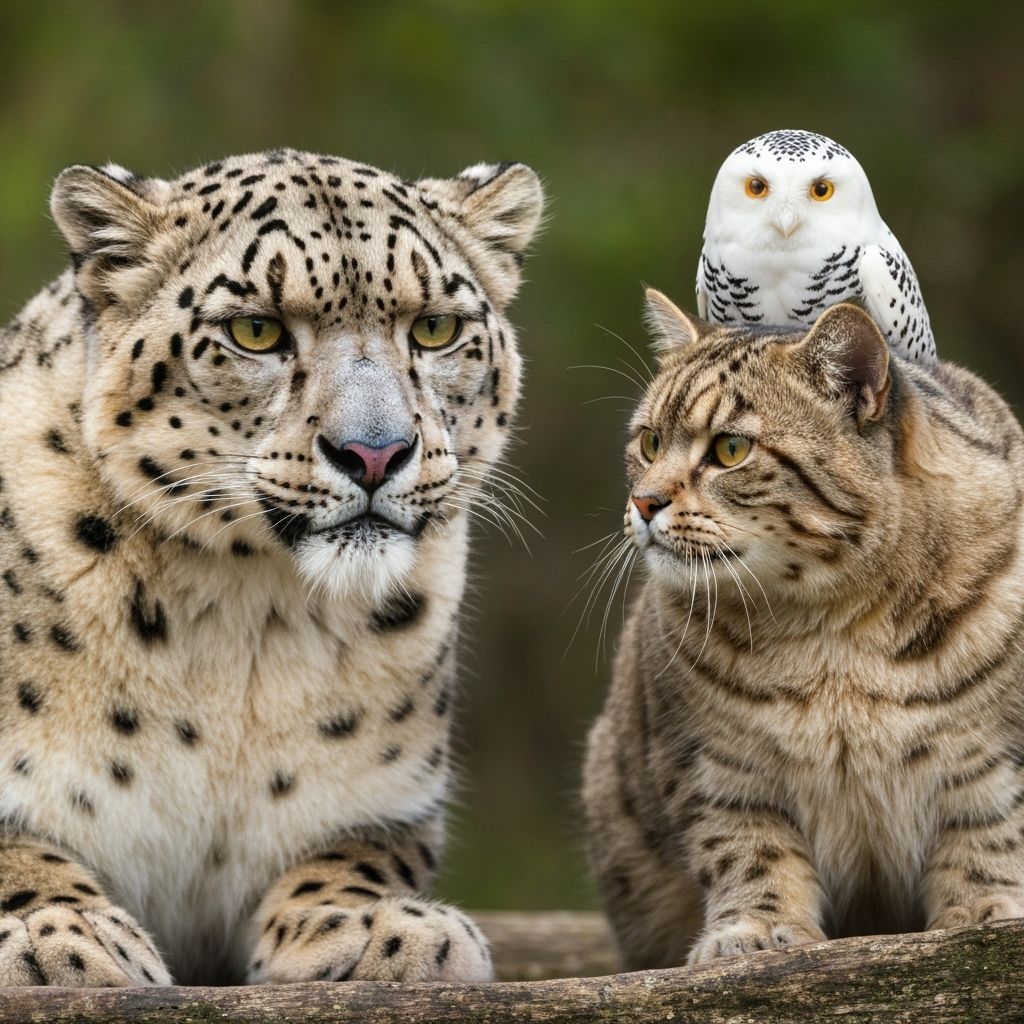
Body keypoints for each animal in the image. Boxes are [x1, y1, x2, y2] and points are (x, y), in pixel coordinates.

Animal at [0, 148, 543, 986]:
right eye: (255, 330)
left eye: (436, 326)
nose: (376, 452)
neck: (249, 620)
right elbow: (20, 855)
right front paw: (61, 935)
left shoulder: (387, 803)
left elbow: (352, 857)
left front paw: (376, 927)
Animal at [583, 290, 1024, 969]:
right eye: (650, 441)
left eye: (730, 450)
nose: (643, 503)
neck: (838, 628)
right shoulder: (716, 765)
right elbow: (749, 851)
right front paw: (758, 931)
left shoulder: (994, 753)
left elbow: (988, 833)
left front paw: (983, 912)